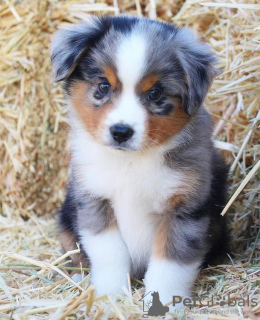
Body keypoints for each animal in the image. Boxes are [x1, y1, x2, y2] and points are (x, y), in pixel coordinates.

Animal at [51, 14, 230, 308]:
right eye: (103, 86)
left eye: (155, 93)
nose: (121, 131)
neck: (132, 162)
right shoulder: (94, 200)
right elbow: (110, 254)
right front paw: (109, 297)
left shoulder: (185, 209)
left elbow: (170, 264)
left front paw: (166, 302)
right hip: (66, 219)